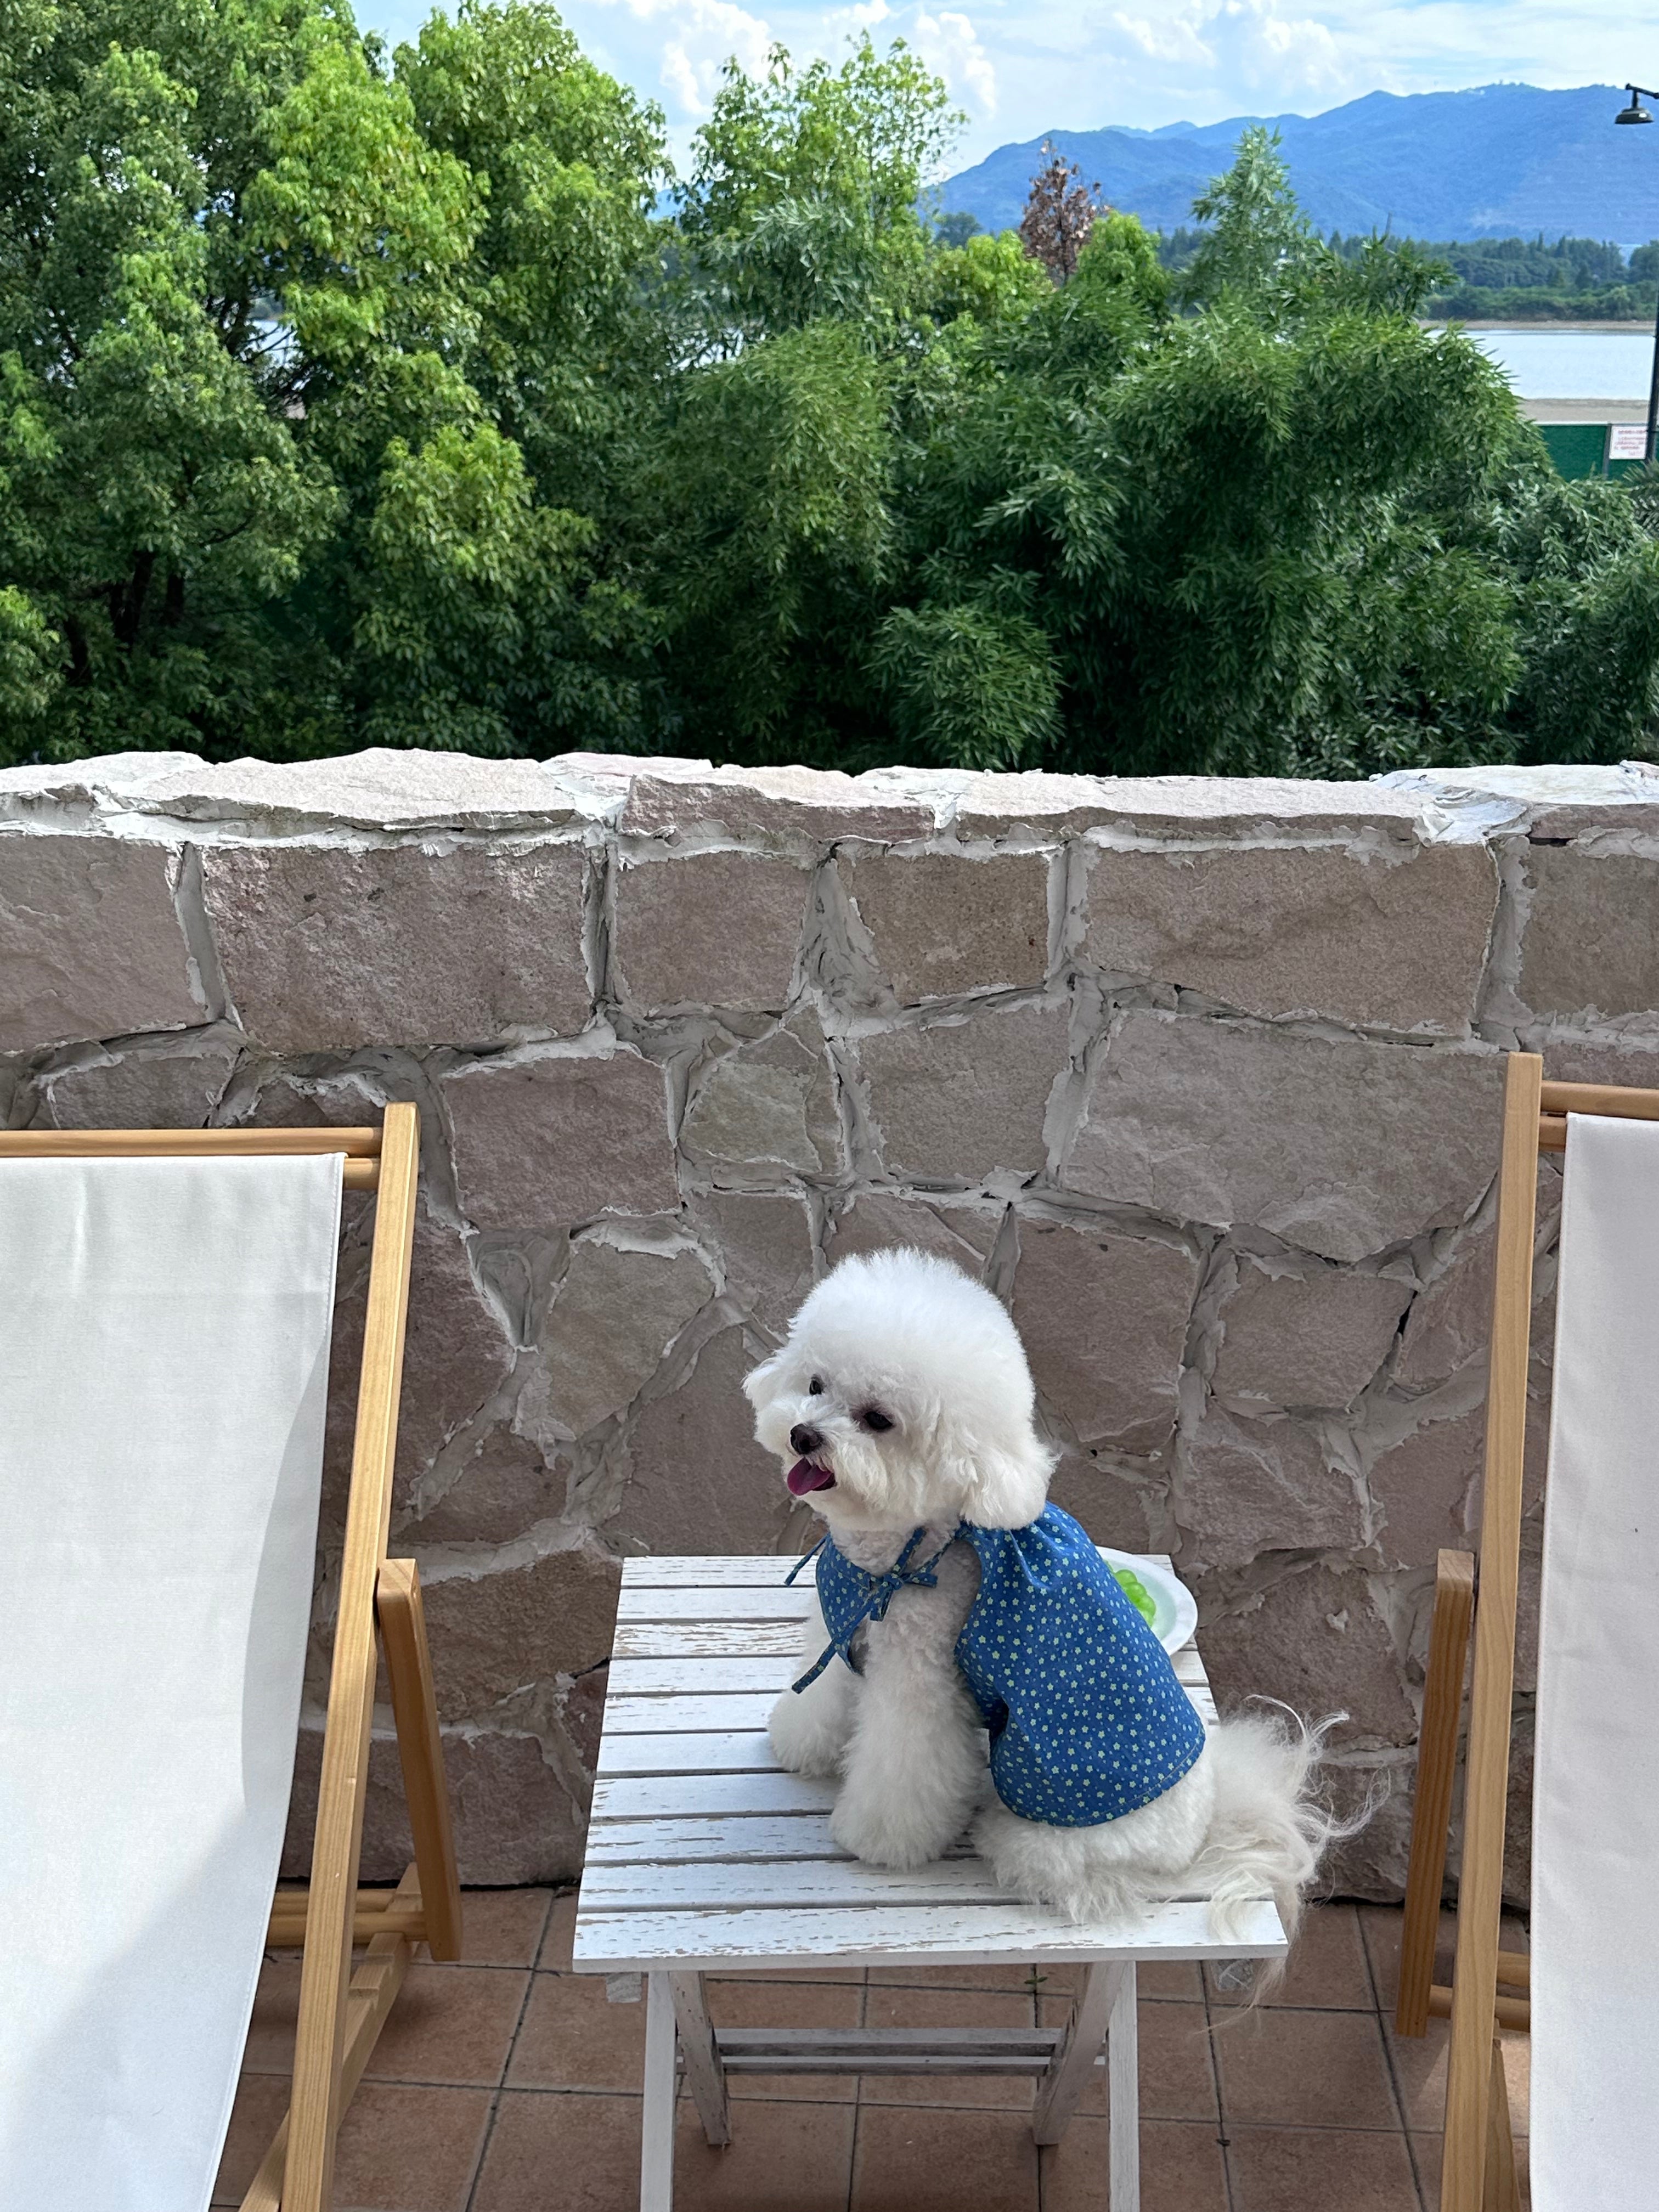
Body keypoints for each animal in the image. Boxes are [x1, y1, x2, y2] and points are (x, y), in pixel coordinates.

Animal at [747, 1256, 1345, 1946]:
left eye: (878, 1420)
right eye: (815, 1383)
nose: (802, 1434)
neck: (904, 1548)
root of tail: (1206, 1822)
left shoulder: (918, 1674)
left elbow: (904, 1763)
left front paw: (877, 1839)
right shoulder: (843, 1627)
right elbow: (819, 1695)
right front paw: (801, 1744)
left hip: (1051, 1826)